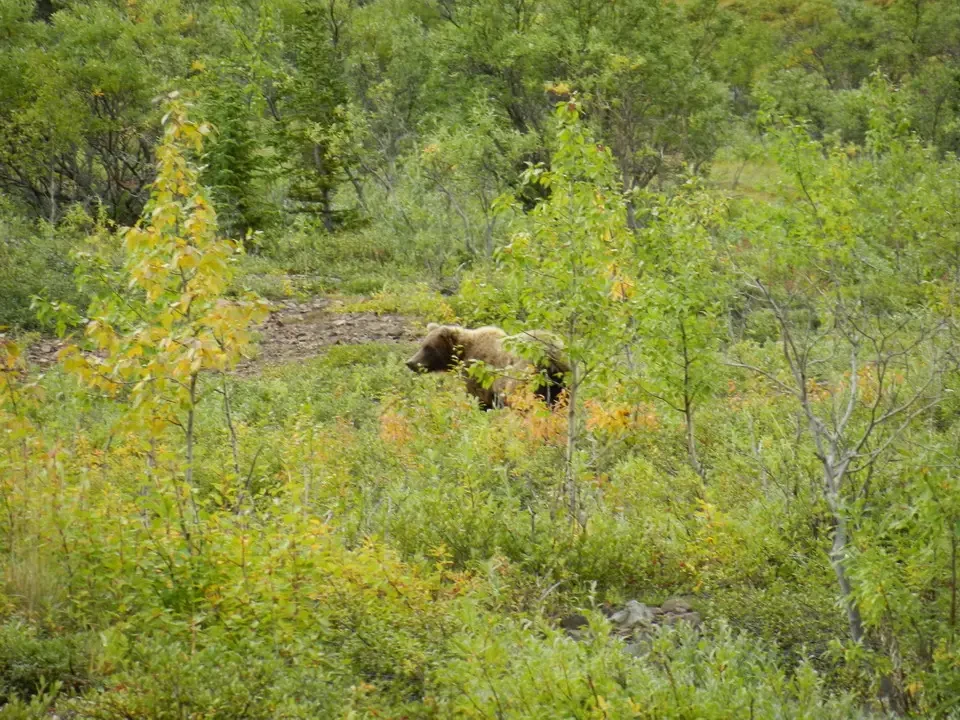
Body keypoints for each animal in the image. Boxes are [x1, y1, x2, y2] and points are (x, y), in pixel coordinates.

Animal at [405, 323, 568, 410]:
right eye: (423, 345)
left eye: (428, 347)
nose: (410, 363)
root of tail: (550, 352)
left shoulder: (479, 374)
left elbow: (481, 399)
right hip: (562, 378)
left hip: (523, 376)